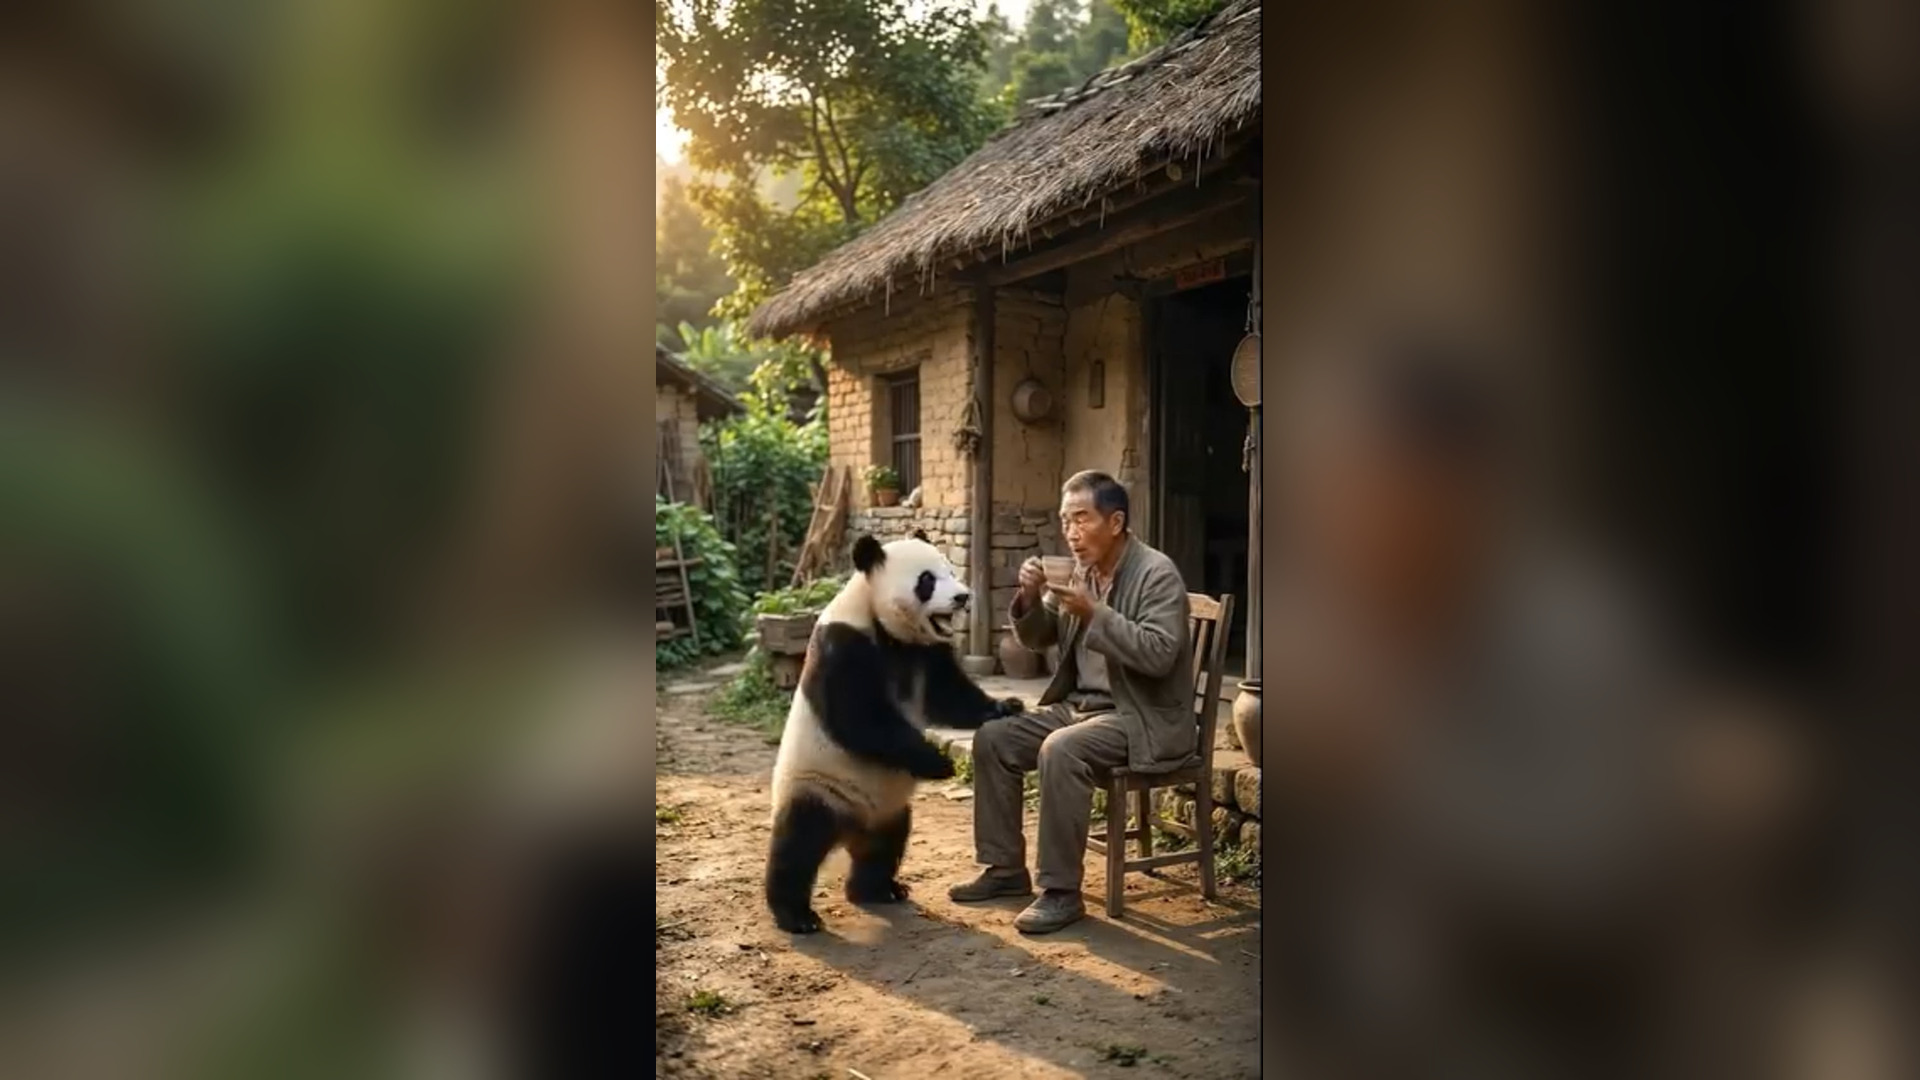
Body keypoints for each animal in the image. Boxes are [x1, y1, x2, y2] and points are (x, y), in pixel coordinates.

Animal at [765, 530, 1024, 934]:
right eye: (927, 580)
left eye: (951, 570)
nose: (963, 596)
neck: (884, 624)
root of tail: (852, 826)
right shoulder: (844, 643)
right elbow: (859, 719)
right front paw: (939, 762)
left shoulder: (927, 650)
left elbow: (949, 696)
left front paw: (1006, 707)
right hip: (817, 784)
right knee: (798, 844)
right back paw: (796, 915)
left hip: (889, 807)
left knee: (886, 845)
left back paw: (876, 890)